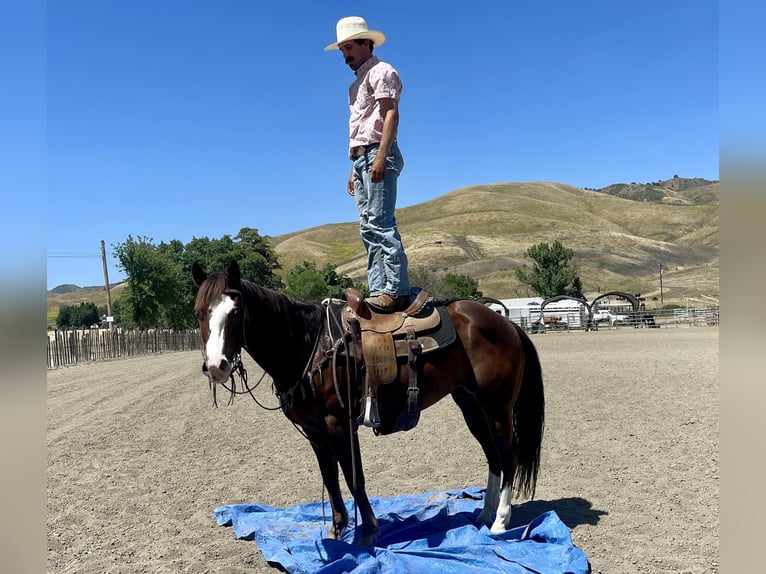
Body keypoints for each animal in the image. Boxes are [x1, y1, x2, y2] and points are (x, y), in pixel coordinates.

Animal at [195, 264, 548, 548]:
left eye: (235, 311)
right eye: (200, 312)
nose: (216, 366)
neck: (310, 345)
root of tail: (507, 324)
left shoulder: (338, 424)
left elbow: (354, 478)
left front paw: (368, 532)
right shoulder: (315, 432)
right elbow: (330, 480)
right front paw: (337, 532)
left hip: (497, 408)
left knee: (508, 456)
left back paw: (500, 522)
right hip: (471, 406)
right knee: (493, 456)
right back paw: (484, 515)